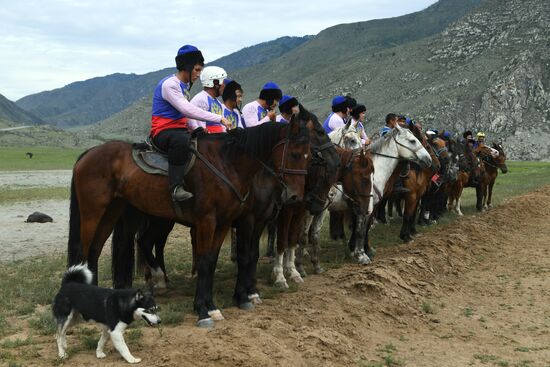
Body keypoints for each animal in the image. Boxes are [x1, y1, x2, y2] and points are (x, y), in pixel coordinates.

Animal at [65, 120, 312, 328]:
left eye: (308, 155)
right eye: (295, 154)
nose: (294, 196)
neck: (226, 163)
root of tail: (89, 153)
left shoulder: (224, 223)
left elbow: (211, 262)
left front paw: (213, 306)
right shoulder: (211, 221)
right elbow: (208, 261)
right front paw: (203, 310)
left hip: (113, 211)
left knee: (97, 250)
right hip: (94, 212)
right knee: (85, 250)